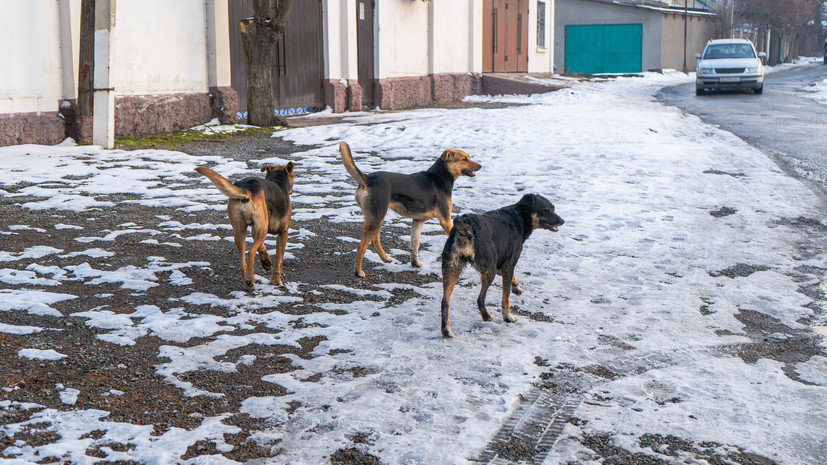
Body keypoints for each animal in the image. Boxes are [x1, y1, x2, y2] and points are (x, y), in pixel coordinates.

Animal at [338, 140, 482, 276]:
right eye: (465, 159)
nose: (481, 166)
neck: (439, 177)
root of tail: (367, 178)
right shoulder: (445, 219)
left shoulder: (418, 221)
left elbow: (414, 245)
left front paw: (415, 263)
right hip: (377, 216)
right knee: (361, 246)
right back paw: (358, 272)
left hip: (376, 217)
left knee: (374, 242)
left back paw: (385, 258)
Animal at [440, 193, 564, 338]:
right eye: (545, 210)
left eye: (553, 208)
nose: (562, 221)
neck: (519, 216)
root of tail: (466, 225)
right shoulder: (508, 263)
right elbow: (506, 296)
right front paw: (508, 316)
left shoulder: (501, 261)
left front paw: (516, 287)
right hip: (489, 270)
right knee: (480, 299)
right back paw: (487, 316)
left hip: (451, 269)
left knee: (444, 302)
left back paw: (446, 330)